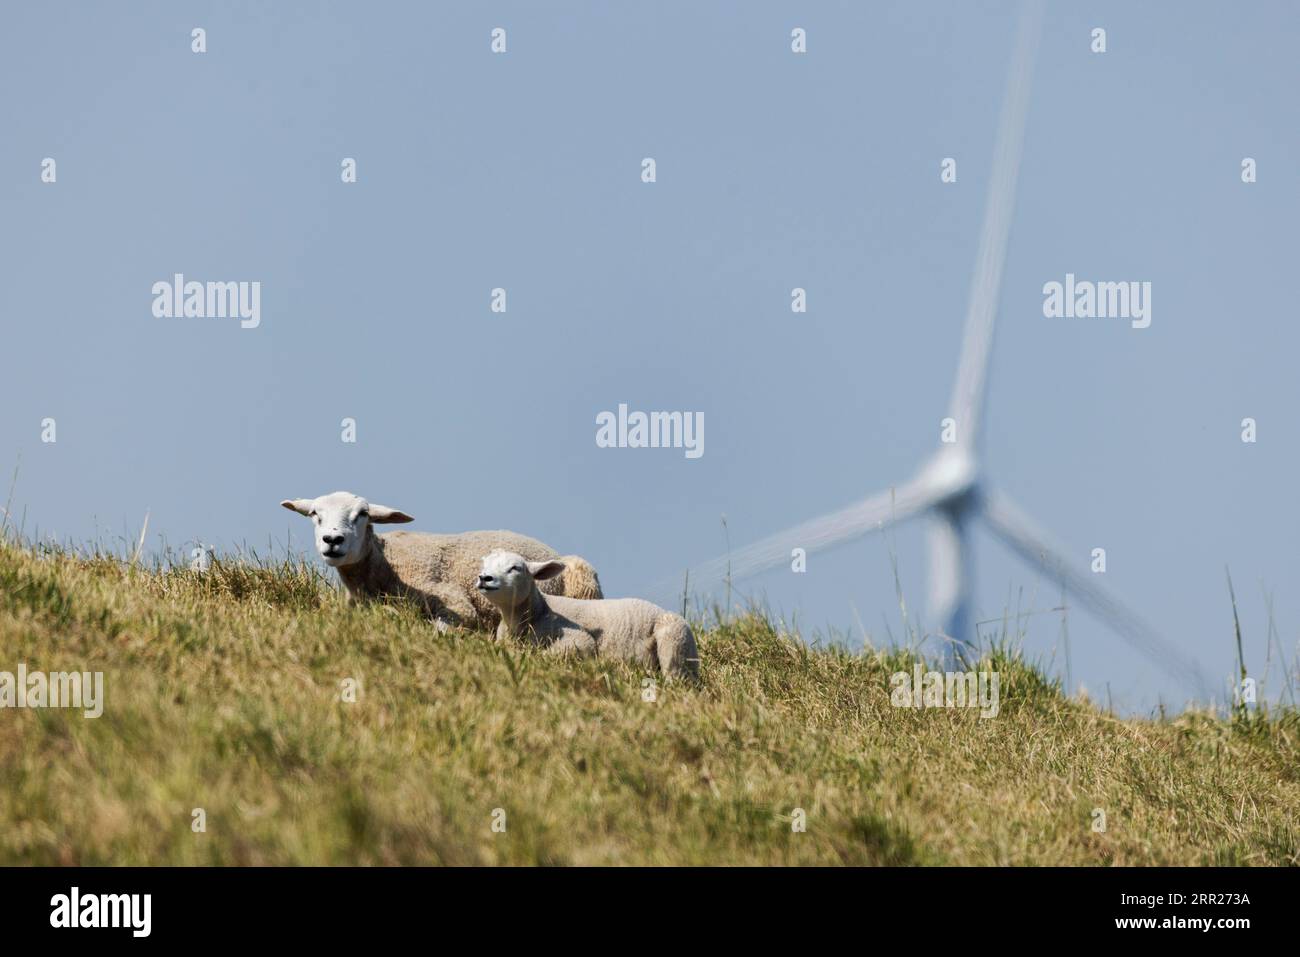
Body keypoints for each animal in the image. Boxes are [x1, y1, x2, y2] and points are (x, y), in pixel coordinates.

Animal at [475, 546, 702, 681]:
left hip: (675, 640)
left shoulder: (579, 640)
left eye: (515, 568)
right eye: (484, 564)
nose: (485, 578)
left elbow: (548, 653)